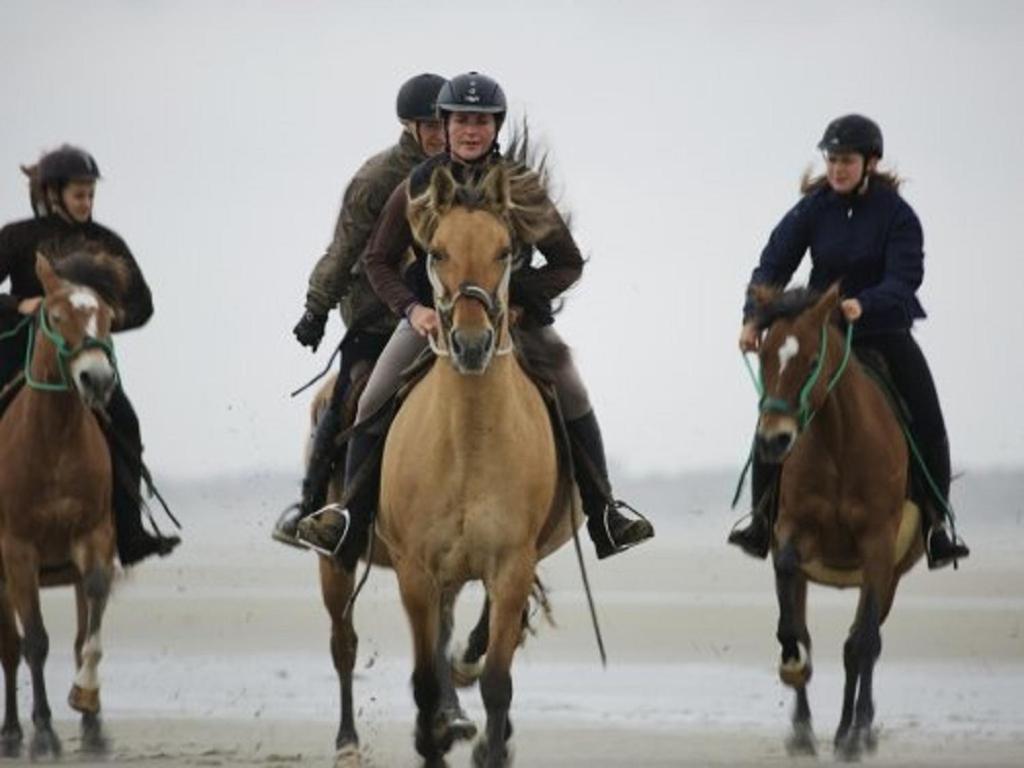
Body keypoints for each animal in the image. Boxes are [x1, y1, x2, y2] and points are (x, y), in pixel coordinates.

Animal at [749, 286, 925, 765]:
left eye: (811, 361)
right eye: (764, 355)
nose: (774, 440)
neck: (838, 443)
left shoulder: (878, 546)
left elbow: (862, 644)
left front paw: (854, 736)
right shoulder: (793, 531)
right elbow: (793, 621)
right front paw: (794, 671)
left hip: (888, 576)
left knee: (863, 643)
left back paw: (855, 731)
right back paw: (809, 729)